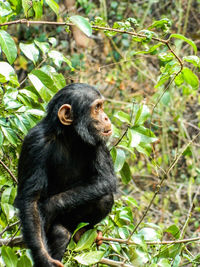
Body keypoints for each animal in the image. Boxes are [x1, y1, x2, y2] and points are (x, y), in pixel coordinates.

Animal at [14, 84, 116, 267]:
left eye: (101, 106)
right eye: (97, 108)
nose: (105, 117)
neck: (70, 136)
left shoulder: (99, 141)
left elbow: (106, 179)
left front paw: (48, 207)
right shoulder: (35, 142)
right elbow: (31, 199)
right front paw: (44, 258)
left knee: (105, 198)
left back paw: (82, 231)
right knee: (60, 233)